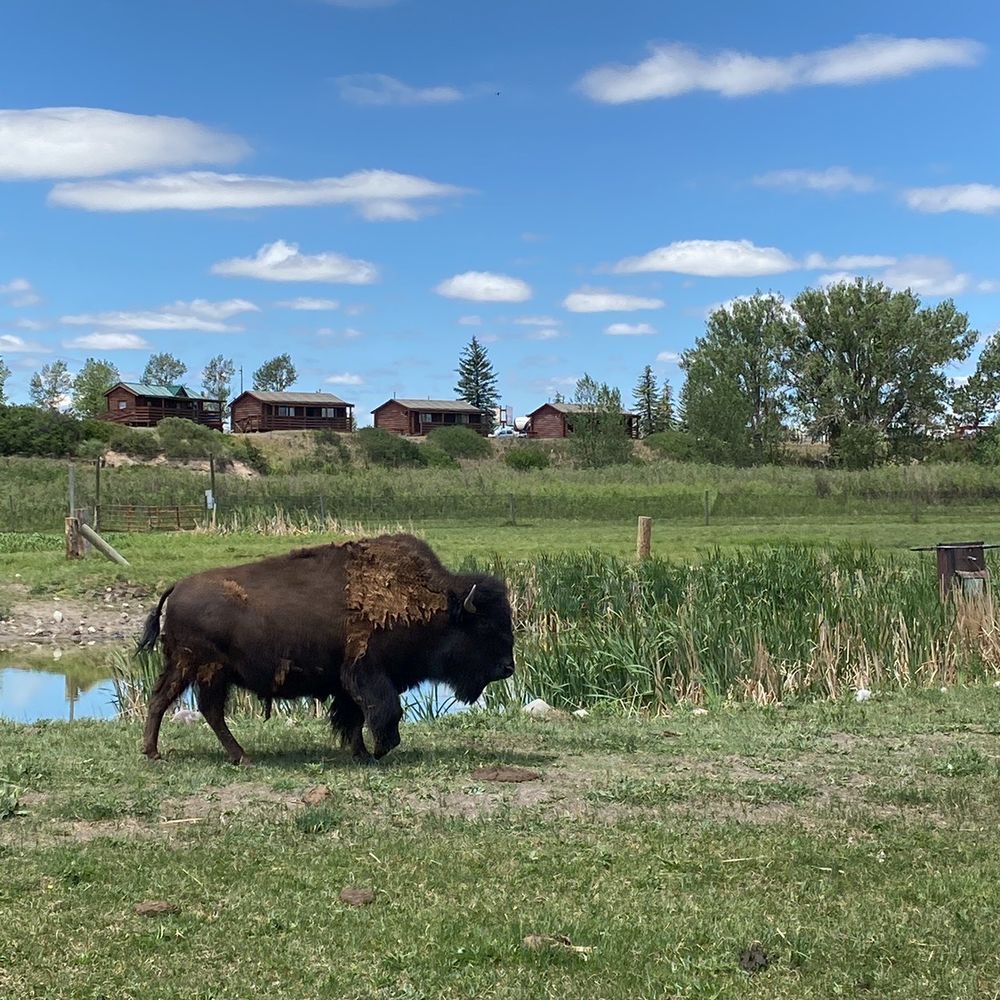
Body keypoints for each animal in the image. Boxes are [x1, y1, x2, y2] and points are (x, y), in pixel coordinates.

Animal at [137, 533, 515, 763]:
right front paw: (379, 750)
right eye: (486, 626)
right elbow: (384, 711)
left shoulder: (348, 683)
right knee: (183, 704)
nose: (507, 668)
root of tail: (177, 587)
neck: (432, 601)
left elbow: (354, 717)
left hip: (202, 671)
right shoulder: (368, 674)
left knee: (185, 705)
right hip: (198, 668)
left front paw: (362, 753)